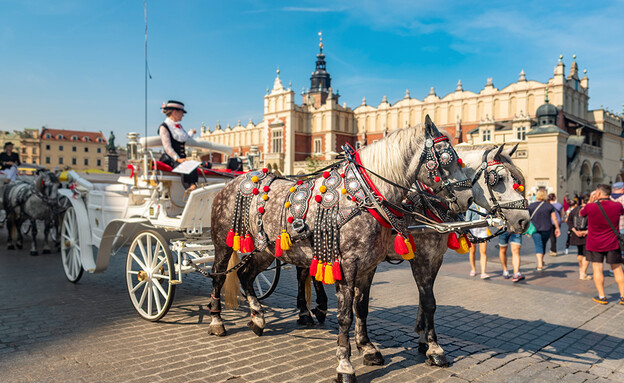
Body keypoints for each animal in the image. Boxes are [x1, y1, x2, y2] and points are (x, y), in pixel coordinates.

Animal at [208, 118, 472, 383]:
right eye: (447, 158)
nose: (468, 199)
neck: (364, 196)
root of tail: (234, 181)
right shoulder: (351, 265)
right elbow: (346, 315)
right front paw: (345, 365)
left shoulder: (371, 265)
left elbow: (363, 308)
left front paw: (369, 348)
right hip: (223, 242)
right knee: (218, 276)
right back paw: (217, 321)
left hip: (266, 249)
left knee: (246, 275)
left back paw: (259, 318)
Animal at [294, 141, 528, 368]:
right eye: (497, 179)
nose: (523, 221)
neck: (428, 201)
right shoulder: (421, 257)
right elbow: (428, 300)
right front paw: (434, 349)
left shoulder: (435, 258)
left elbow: (426, 299)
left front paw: (423, 339)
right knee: (305, 274)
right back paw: (308, 312)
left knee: (309, 273)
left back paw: (316, 309)